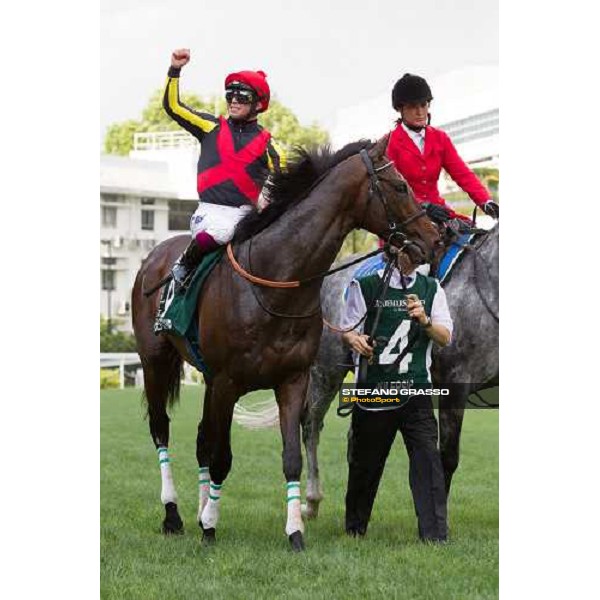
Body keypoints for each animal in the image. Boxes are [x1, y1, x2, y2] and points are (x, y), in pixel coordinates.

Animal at [131, 135, 440, 548]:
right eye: (401, 186)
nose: (432, 237)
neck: (277, 282)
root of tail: (154, 256)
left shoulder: (292, 379)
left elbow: (290, 456)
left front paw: (294, 531)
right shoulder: (228, 382)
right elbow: (222, 457)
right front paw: (211, 525)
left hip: (207, 378)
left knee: (200, 438)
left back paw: (198, 509)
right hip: (156, 362)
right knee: (161, 429)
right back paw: (174, 514)